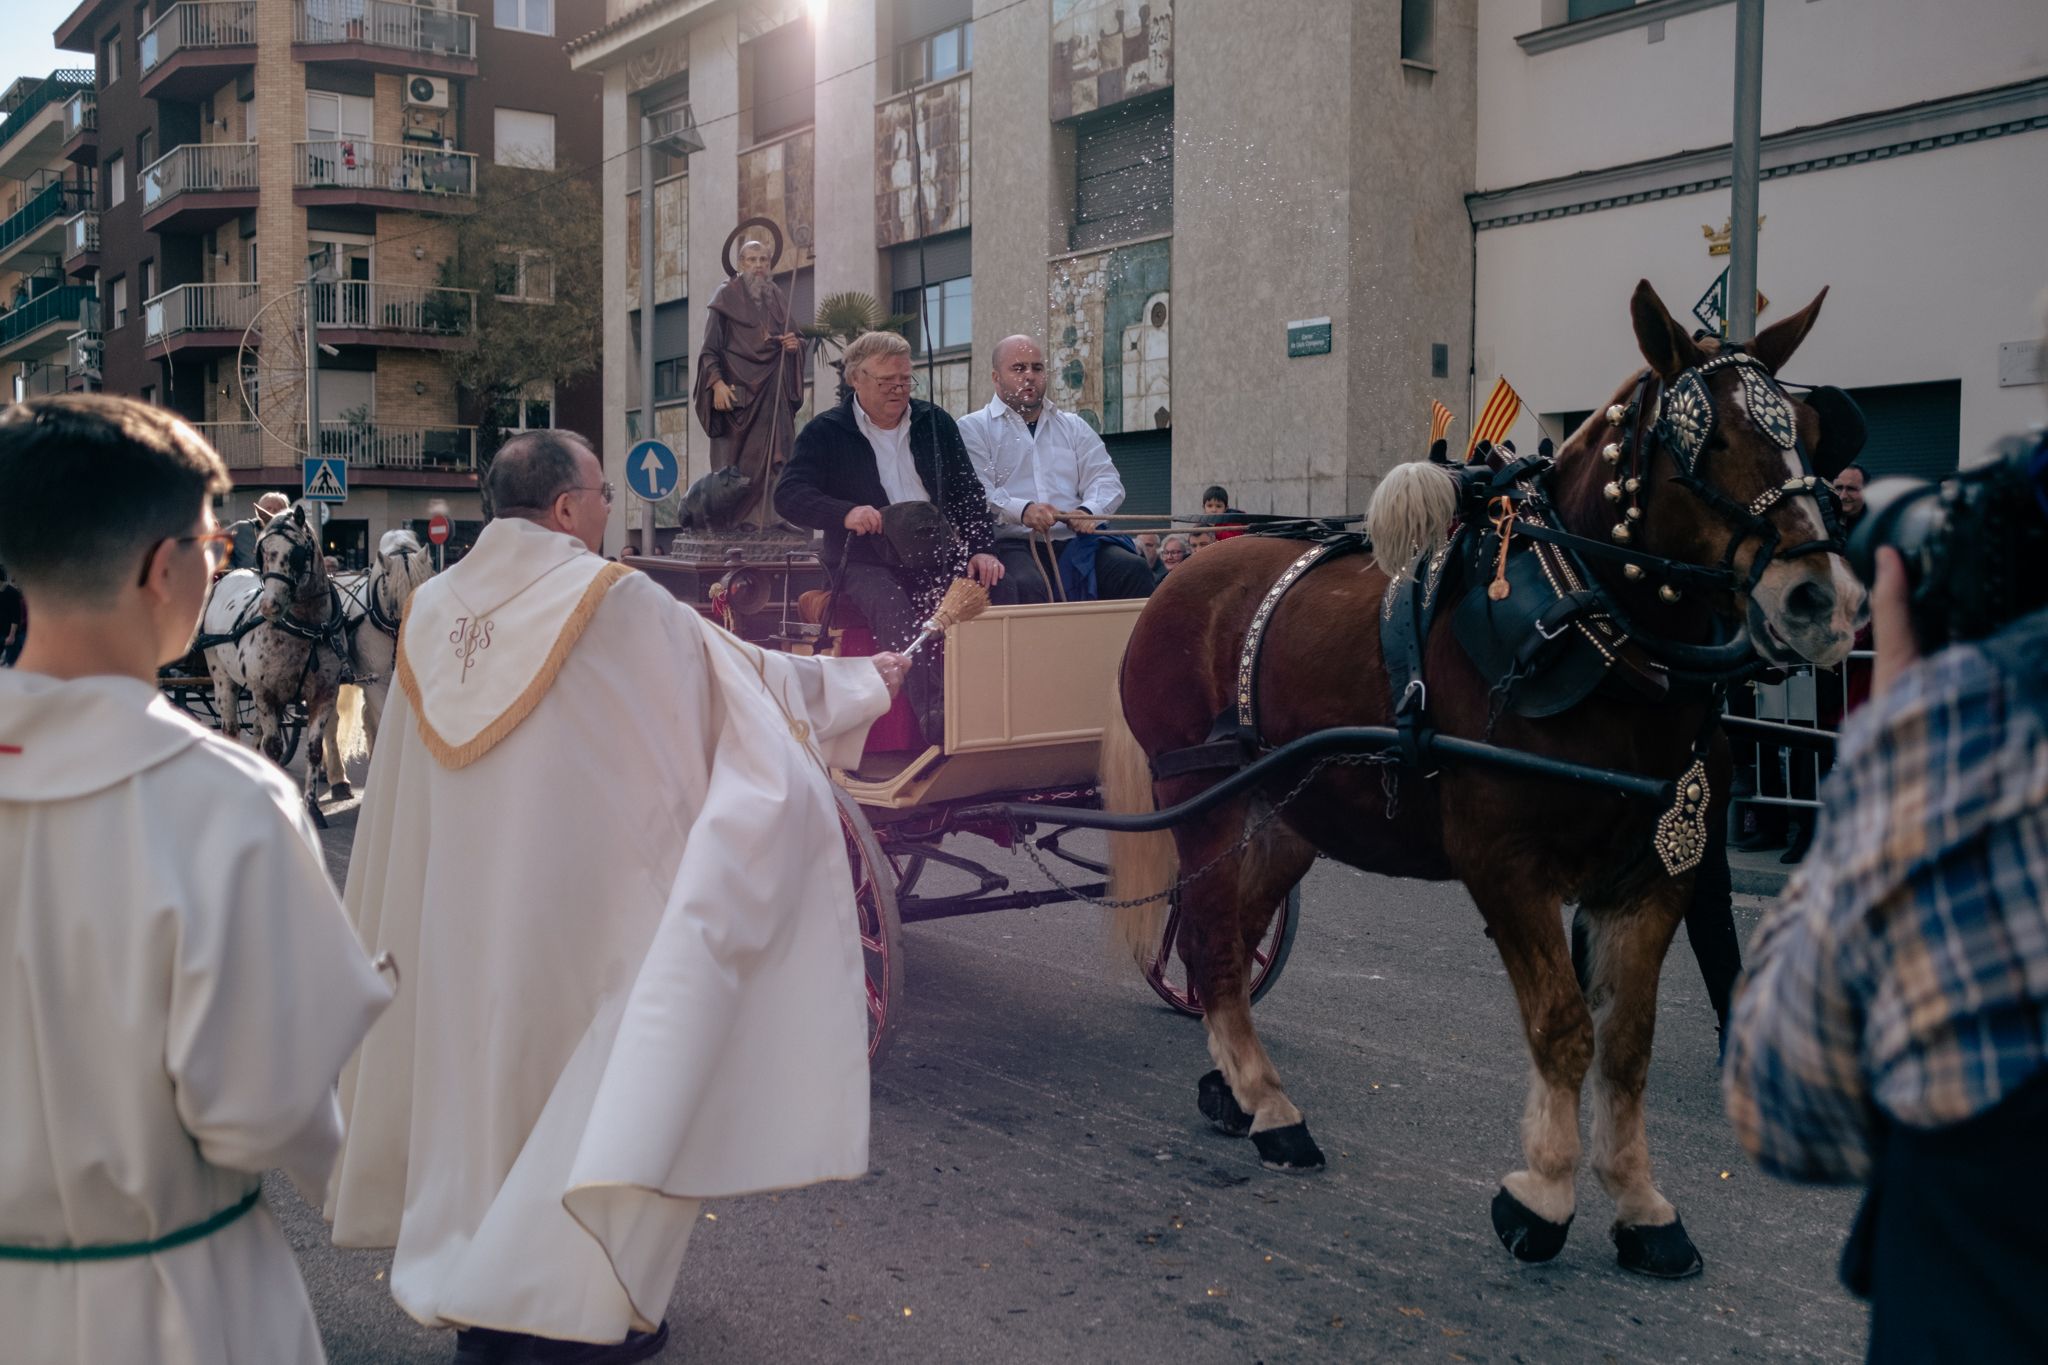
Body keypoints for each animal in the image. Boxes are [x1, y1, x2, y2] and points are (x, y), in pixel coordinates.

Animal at [199, 505, 348, 818]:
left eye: (297, 554)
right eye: (262, 552)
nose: (269, 607)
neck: (307, 630)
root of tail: (229, 576)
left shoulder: (324, 693)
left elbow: (313, 750)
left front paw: (312, 808)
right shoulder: (266, 692)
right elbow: (275, 747)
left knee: (255, 732)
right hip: (223, 679)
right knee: (232, 730)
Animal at [1105, 280, 1875, 1285]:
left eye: (1809, 432)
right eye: (1702, 440)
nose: (1823, 600)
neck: (1587, 634)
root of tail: (1183, 569)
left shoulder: (1657, 875)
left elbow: (1626, 1043)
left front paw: (1641, 1204)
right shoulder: (1507, 866)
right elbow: (1564, 1027)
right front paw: (1541, 1195)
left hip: (1285, 818)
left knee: (1224, 936)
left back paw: (1237, 1088)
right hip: (1202, 798)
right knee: (1210, 937)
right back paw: (1270, 1107)